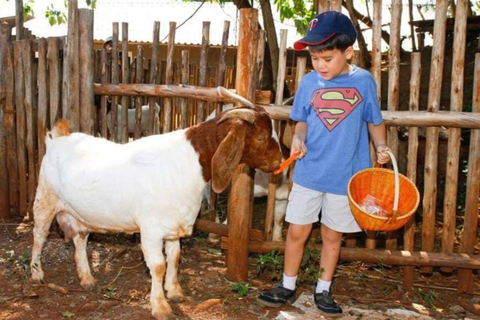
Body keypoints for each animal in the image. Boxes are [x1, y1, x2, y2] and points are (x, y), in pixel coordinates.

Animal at [30, 106, 284, 318]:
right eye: (261, 137)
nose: (279, 162)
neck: (187, 163)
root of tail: (59, 139)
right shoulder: (151, 229)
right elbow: (159, 265)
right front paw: (160, 307)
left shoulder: (172, 226)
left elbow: (175, 257)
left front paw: (175, 291)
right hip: (45, 199)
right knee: (39, 236)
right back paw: (37, 274)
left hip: (78, 213)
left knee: (80, 240)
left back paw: (87, 279)